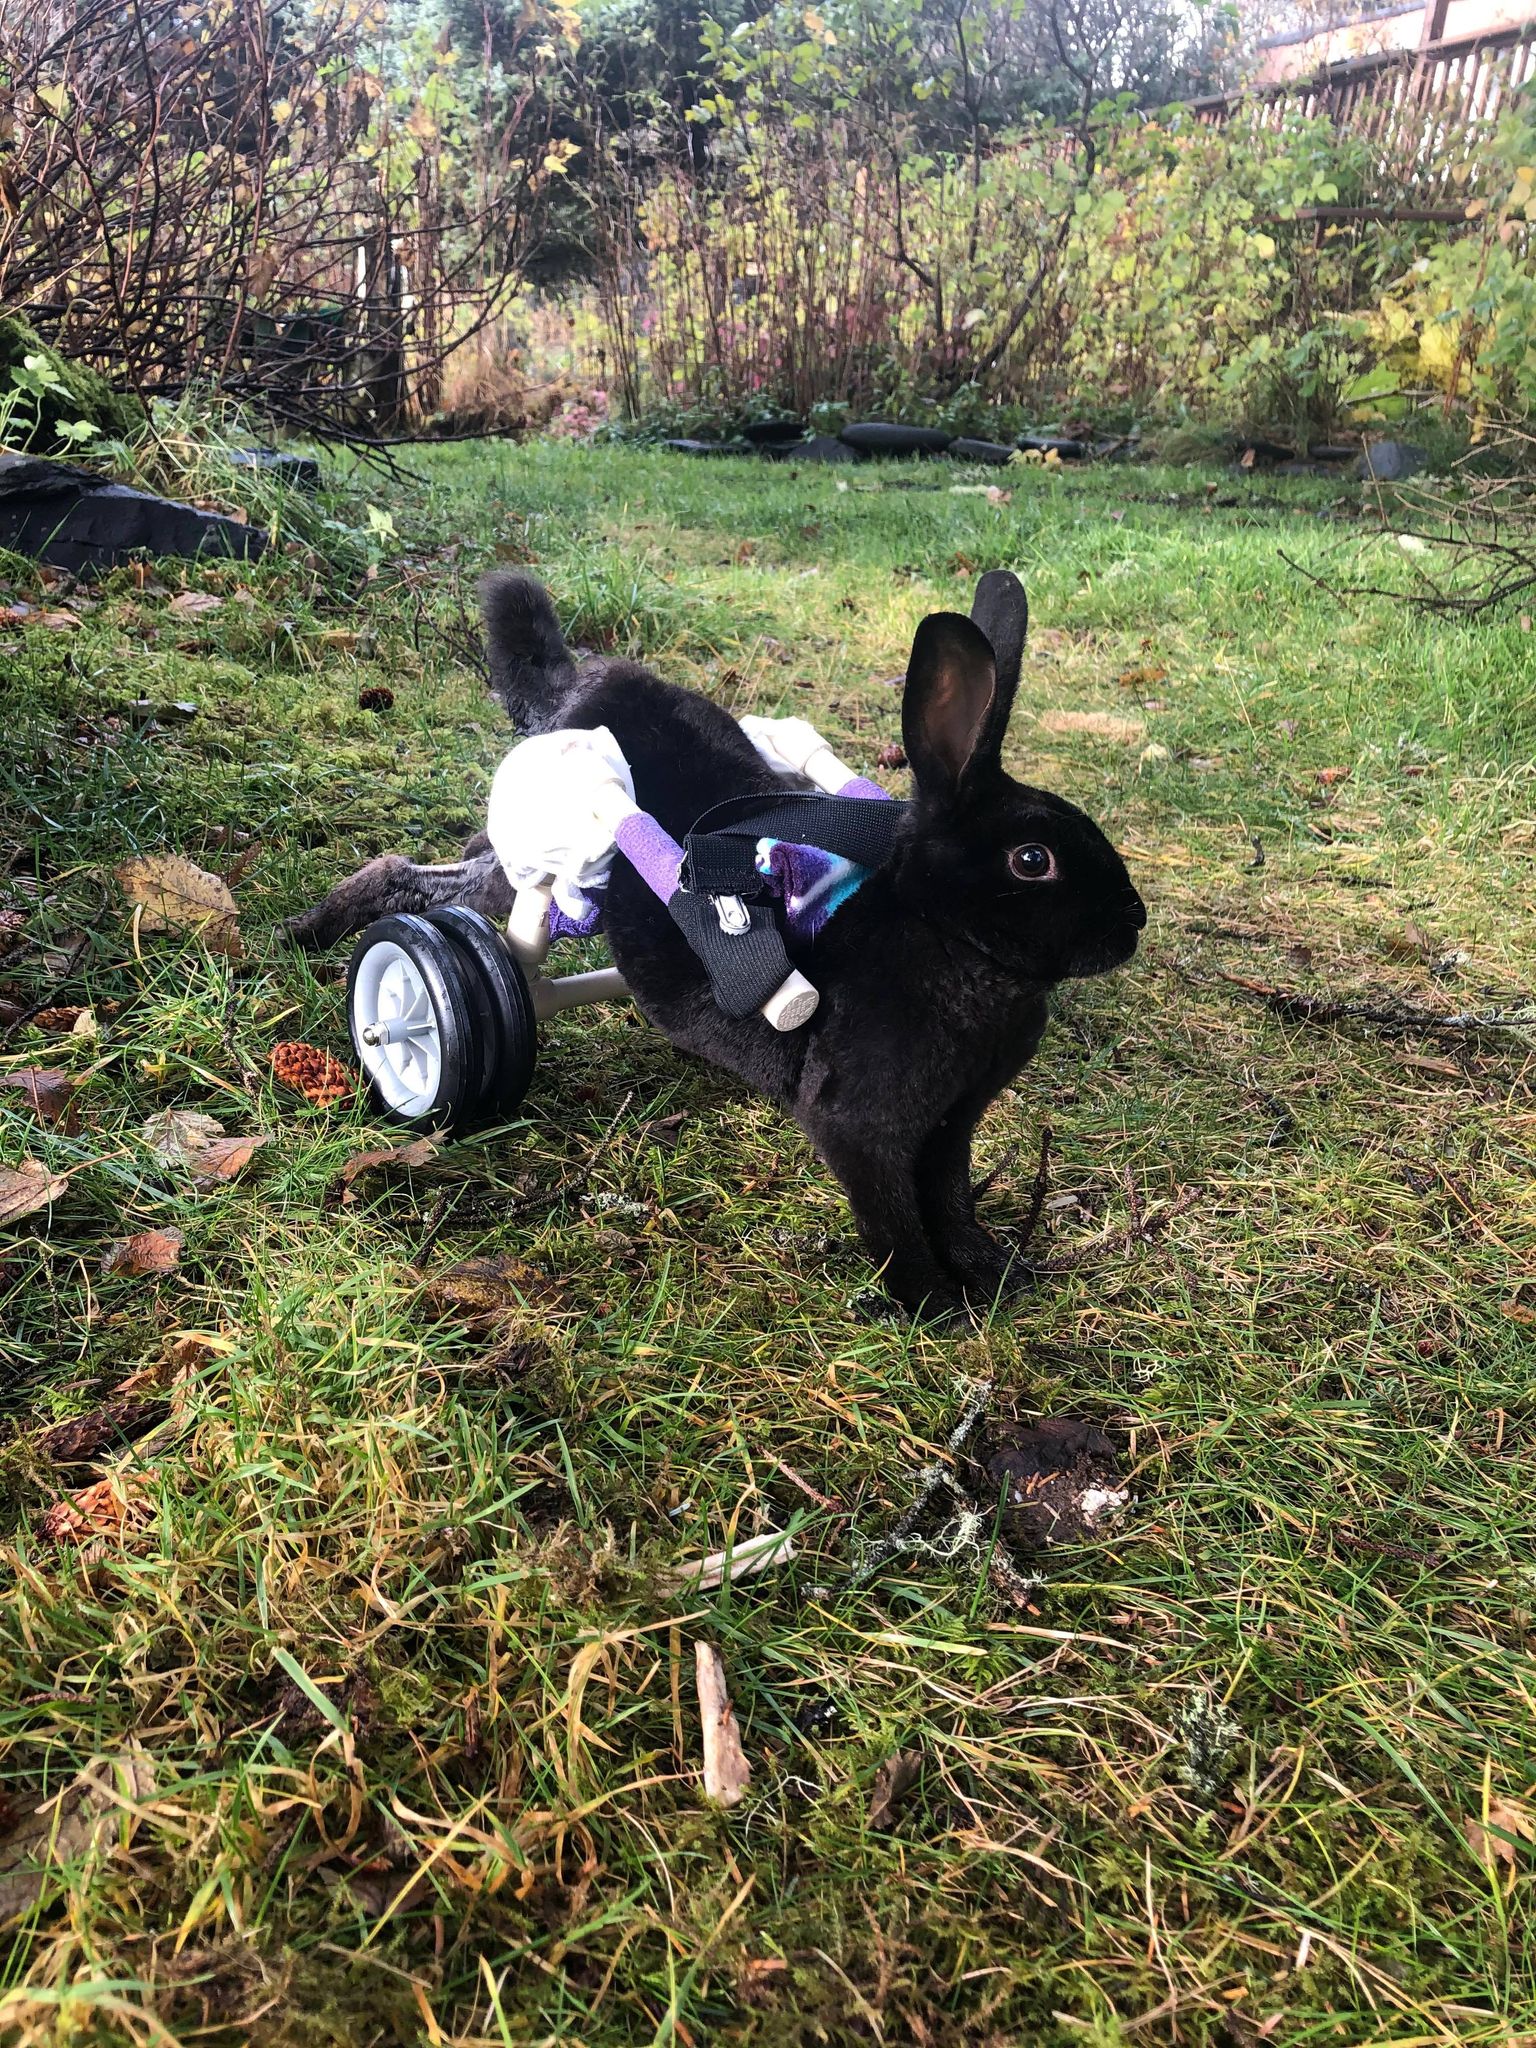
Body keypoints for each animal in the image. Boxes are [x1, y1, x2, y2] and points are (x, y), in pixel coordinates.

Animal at [294, 569, 1146, 1318]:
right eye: (1032, 861)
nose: (1134, 922)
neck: (939, 936)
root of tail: (580, 686)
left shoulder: (949, 1129)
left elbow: (952, 1203)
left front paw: (997, 1277)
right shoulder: (862, 1133)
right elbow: (897, 1222)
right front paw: (934, 1308)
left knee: (453, 872)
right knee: (453, 916)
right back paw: (337, 954)